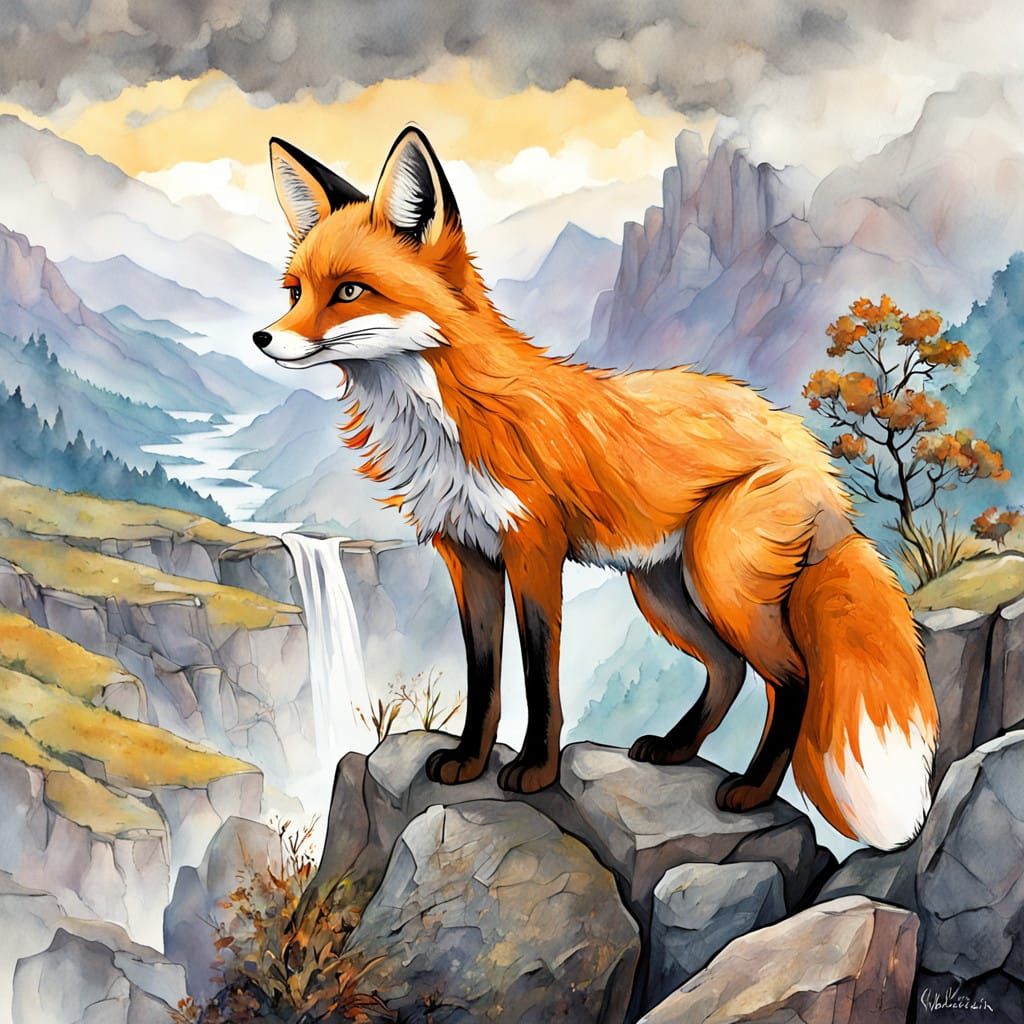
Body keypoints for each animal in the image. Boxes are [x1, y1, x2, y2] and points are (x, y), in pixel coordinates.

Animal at [253, 126, 939, 850]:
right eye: (295, 291)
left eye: (350, 292)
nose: (263, 336)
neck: (448, 418)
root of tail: (803, 442)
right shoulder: (467, 555)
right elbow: (485, 674)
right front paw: (468, 760)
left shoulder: (533, 551)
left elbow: (540, 677)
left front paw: (534, 770)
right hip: (663, 589)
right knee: (728, 669)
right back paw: (674, 749)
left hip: (719, 582)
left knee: (792, 677)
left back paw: (751, 792)